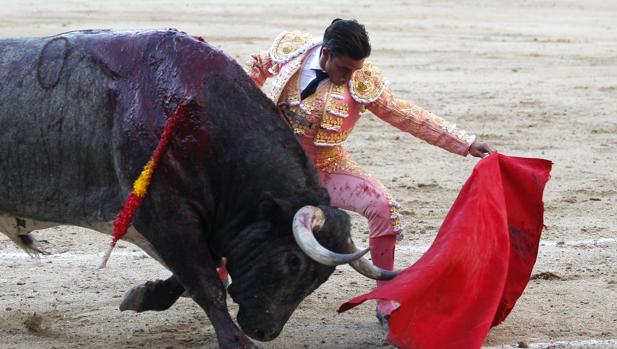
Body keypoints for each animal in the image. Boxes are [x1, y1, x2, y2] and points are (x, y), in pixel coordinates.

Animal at [0, 30, 392, 348]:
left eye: (321, 277)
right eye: (292, 261)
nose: (264, 331)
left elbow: (197, 273)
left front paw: (145, 296)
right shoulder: (164, 213)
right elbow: (206, 282)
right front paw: (236, 343)